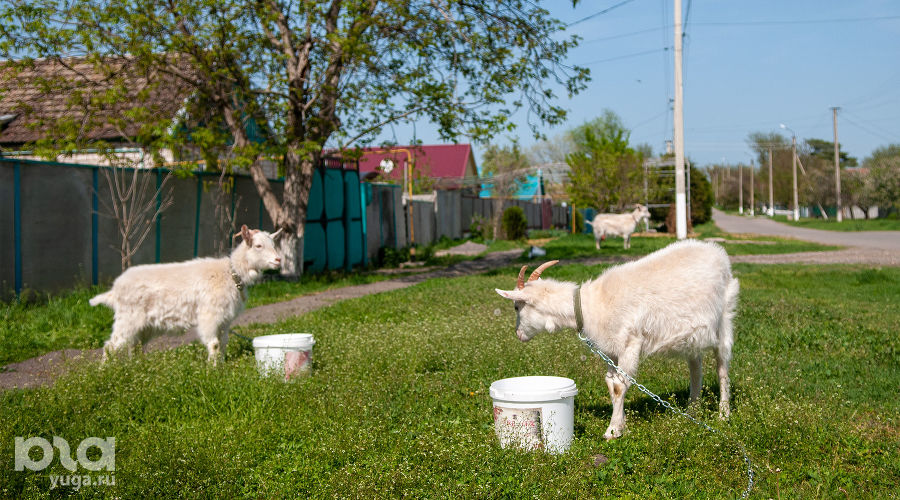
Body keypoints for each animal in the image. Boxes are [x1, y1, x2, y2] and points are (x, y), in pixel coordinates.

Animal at [91, 224, 282, 364]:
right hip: (127, 319)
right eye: (258, 246)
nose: (278, 260)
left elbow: (223, 343)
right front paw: (212, 370)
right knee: (111, 346)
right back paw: (104, 372)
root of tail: (115, 289)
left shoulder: (225, 319)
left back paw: (138, 368)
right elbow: (214, 344)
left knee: (135, 346)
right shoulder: (209, 316)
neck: (231, 273)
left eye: (273, 245)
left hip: (144, 325)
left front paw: (221, 366)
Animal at [496, 240, 740, 440]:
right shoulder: (610, 351)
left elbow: (621, 386)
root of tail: (718, 252)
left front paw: (612, 431)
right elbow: (611, 386)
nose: (518, 334)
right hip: (692, 336)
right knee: (696, 367)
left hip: (724, 318)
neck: (593, 305)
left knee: (722, 367)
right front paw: (620, 425)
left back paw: (723, 413)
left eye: (516, 306)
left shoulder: (630, 343)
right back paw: (692, 410)